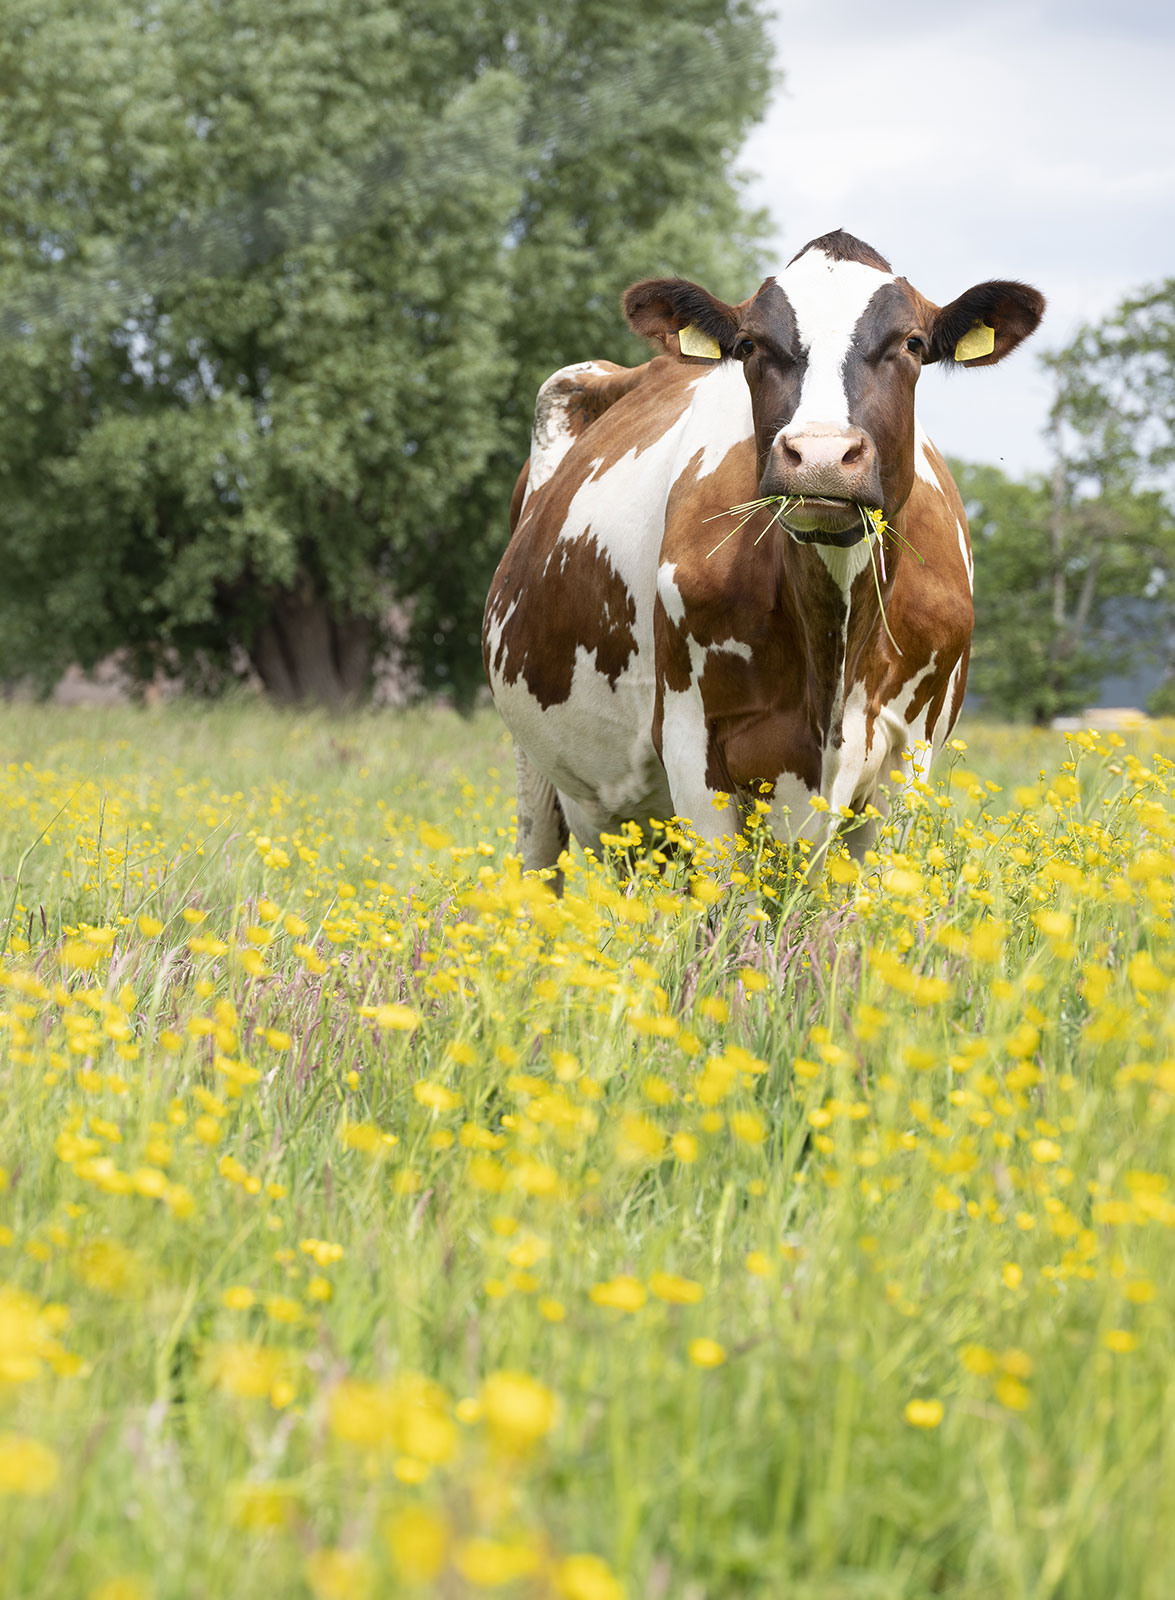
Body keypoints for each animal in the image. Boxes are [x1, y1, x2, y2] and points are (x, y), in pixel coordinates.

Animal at [483, 233, 1043, 889]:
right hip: (537, 769)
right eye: (750, 345)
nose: (822, 457)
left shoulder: (909, 757)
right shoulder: (693, 747)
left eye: (912, 343)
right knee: (540, 864)